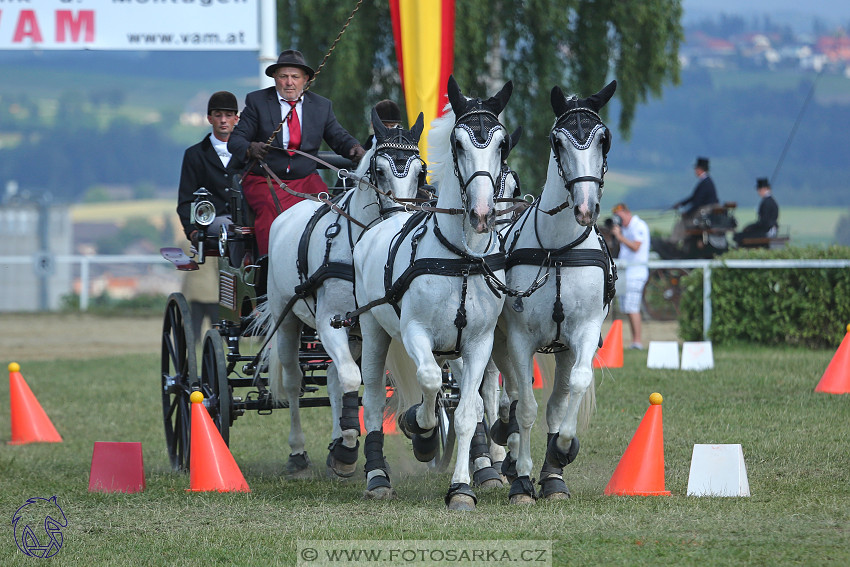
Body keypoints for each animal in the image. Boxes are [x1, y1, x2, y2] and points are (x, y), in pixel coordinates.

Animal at [253, 107, 422, 480]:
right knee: (294, 381)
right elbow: (349, 377)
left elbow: (356, 382)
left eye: (421, 171)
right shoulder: (329, 321)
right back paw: (298, 453)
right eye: (379, 170)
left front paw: (345, 445)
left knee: (331, 378)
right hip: (287, 320)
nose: (401, 217)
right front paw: (346, 451)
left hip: (353, 333)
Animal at [352, 76, 510, 510]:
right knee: (374, 396)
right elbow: (427, 380)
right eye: (458, 143)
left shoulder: (478, 344)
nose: (481, 214)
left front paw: (462, 488)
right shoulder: (415, 333)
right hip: (373, 329)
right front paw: (420, 430)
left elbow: (470, 410)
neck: (461, 259)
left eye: (502, 144)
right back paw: (377, 475)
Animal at [490, 81, 616, 506]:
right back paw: (508, 449)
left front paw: (560, 456)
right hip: (497, 342)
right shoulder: (519, 339)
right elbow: (525, 406)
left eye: (604, 139)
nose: (585, 207)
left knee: (554, 400)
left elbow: (568, 396)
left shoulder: (583, 334)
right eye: (557, 141)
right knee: (508, 395)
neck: (559, 250)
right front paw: (522, 480)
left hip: (561, 349)